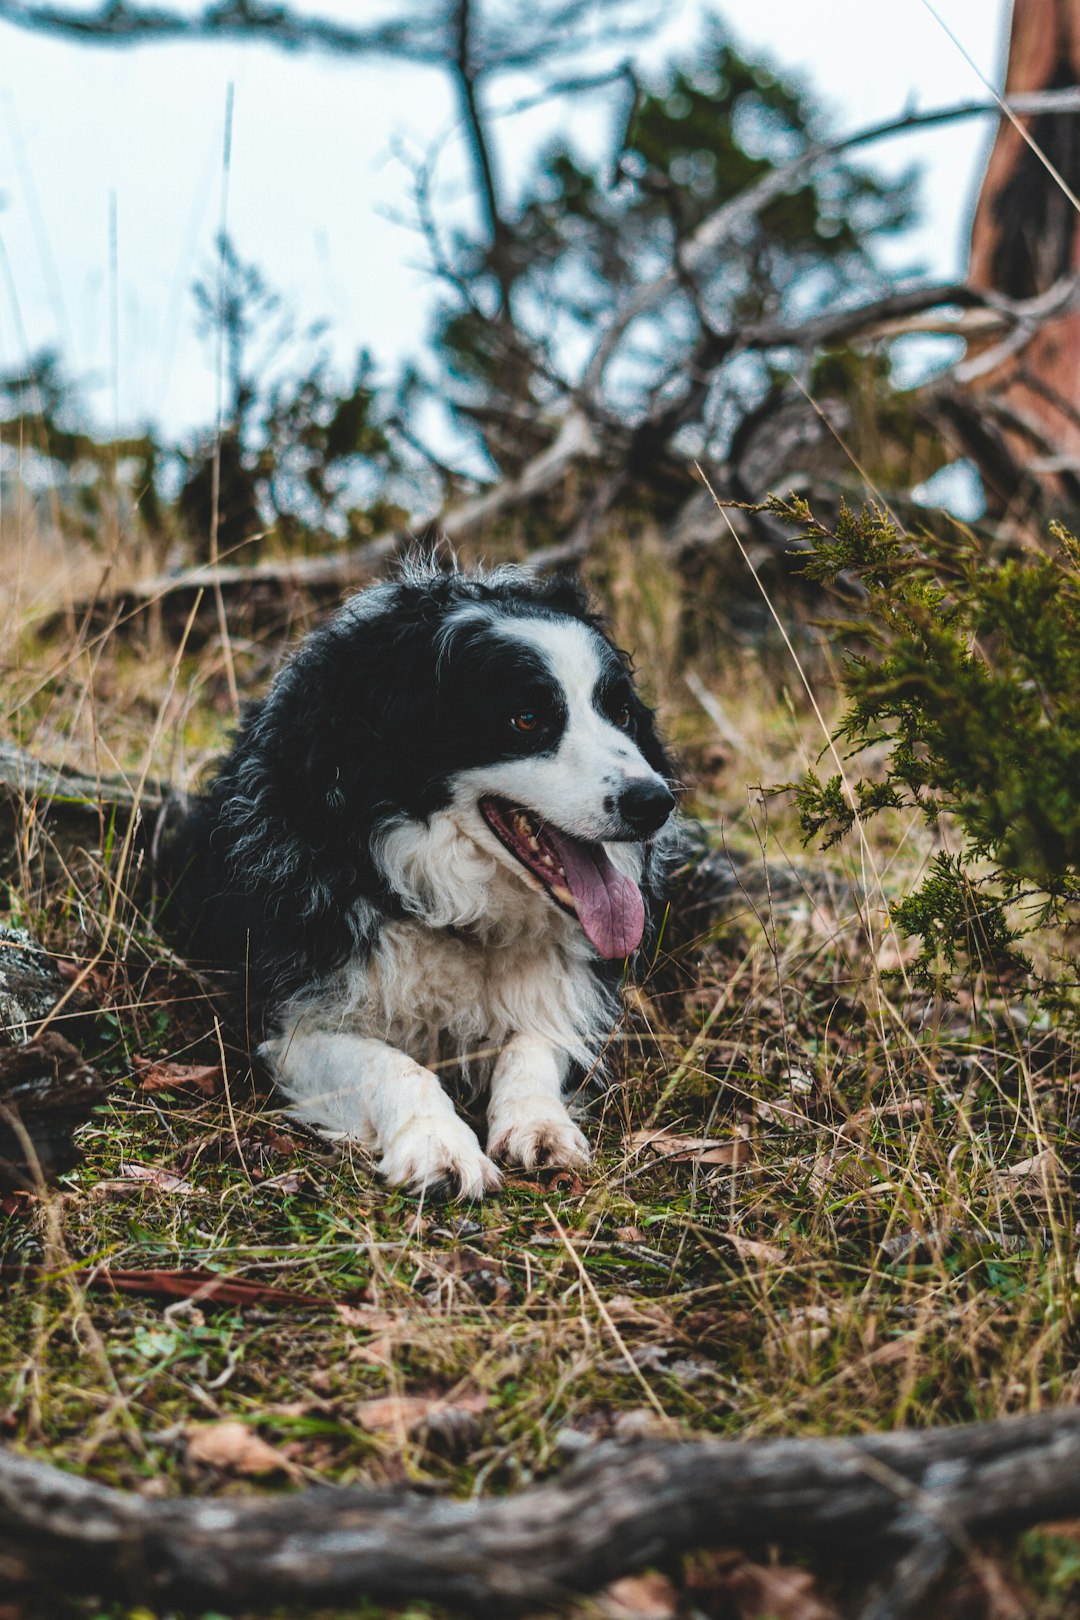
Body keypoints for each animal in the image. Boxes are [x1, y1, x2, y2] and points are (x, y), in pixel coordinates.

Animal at [165, 563, 680, 1198]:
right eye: (527, 718)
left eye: (622, 713)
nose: (654, 802)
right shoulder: (292, 1016)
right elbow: (391, 1064)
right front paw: (440, 1147)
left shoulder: (567, 991)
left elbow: (535, 1042)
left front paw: (539, 1124)